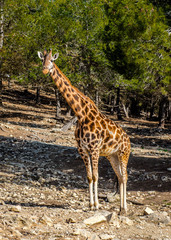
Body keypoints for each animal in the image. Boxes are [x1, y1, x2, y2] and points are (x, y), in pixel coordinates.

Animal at [37, 48, 131, 214]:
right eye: (43, 60)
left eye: (52, 60)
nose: (44, 70)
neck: (81, 115)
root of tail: (129, 140)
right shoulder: (82, 149)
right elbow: (89, 176)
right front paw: (91, 204)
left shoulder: (94, 149)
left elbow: (96, 176)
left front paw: (97, 205)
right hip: (112, 156)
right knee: (120, 177)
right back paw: (120, 208)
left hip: (123, 153)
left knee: (125, 176)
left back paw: (124, 208)